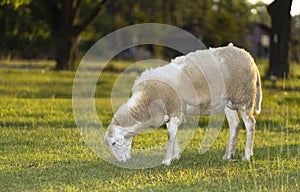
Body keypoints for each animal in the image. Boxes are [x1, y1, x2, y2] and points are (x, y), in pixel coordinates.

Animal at [104, 43, 262, 165]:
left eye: (114, 143)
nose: (121, 162)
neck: (147, 100)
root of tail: (249, 57)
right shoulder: (170, 112)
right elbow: (172, 132)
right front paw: (176, 155)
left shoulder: (175, 108)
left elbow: (170, 133)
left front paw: (167, 160)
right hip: (229, 102)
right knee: (235, 125)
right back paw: (228, 155)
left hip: (245, 97)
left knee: (250, 124)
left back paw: (247, 156)